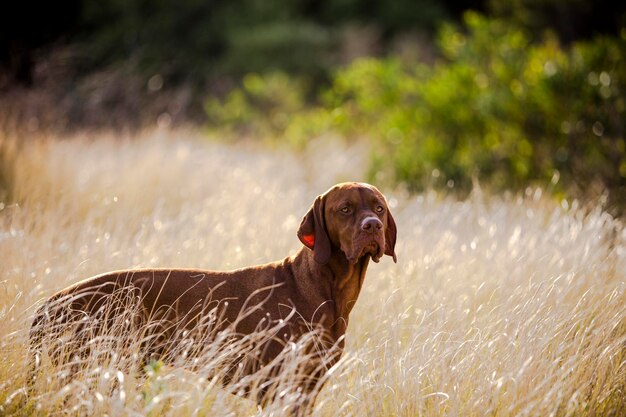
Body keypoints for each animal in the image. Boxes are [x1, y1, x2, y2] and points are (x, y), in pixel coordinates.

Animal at [29, 183, 394, 412]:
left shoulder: (306, 388)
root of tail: (49, 303)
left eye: (378, 208)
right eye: (345, 209)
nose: (372, 226)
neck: (327, 287)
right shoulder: (278, 389)